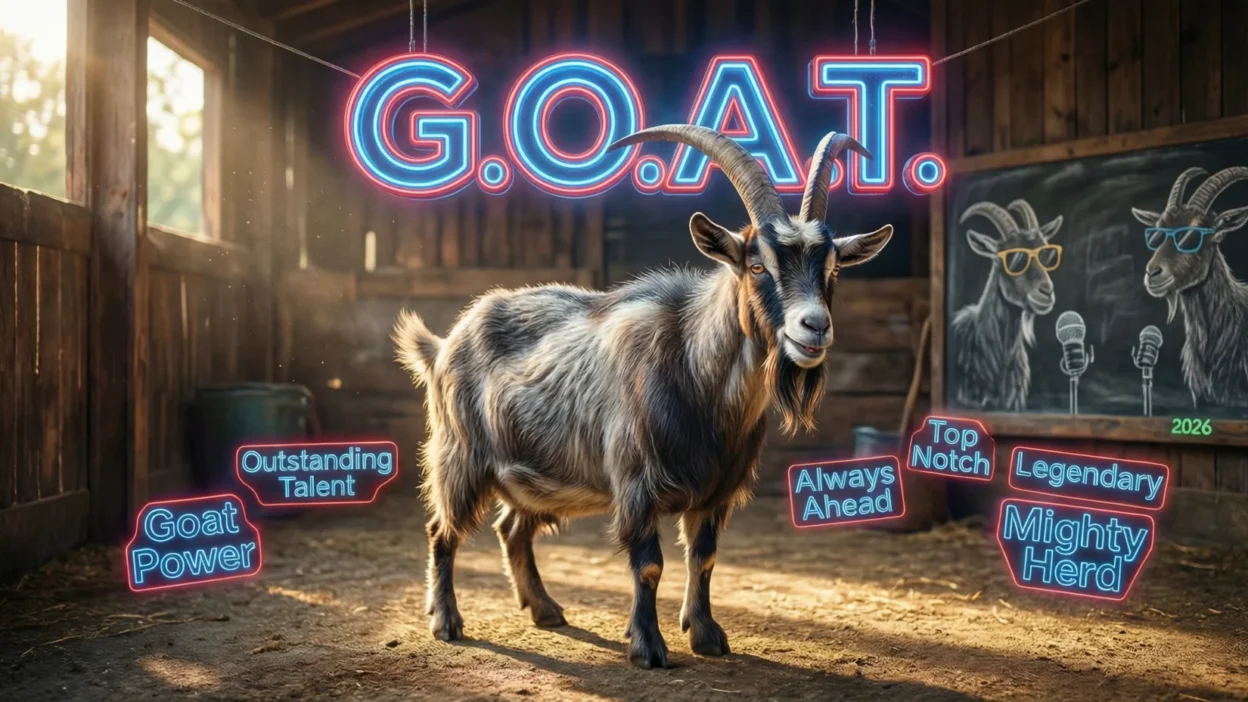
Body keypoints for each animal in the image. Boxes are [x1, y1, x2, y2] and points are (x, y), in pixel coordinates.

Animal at [394, 125, 893, 669]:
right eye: (757, 264)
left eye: (834, 269)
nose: (814, 327)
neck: (697, 377)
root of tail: (443, 345)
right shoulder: (636, 483)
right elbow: (649, 566)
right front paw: (648, 647)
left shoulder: (716, 490)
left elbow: (705, 557)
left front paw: (706, 634)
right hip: (458, 454)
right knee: (441, 530)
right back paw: (446, 621)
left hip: (532, 473)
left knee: (512, 530)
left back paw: (545, 609)